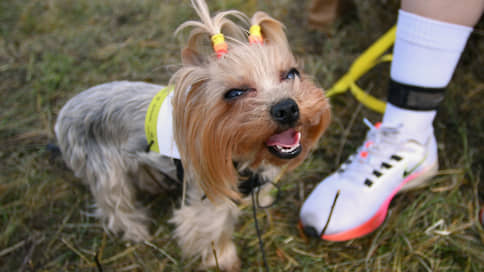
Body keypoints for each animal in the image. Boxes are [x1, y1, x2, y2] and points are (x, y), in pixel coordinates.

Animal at [54, 1, 330, 270]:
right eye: (234, 93)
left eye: (291, 73)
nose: (287, 108)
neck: (245, 155)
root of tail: (65, 112)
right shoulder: (208, 200)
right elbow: (213, 231)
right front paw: (225, 260)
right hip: (104, 170)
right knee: (115, 205)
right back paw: (137, 232)